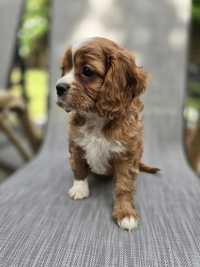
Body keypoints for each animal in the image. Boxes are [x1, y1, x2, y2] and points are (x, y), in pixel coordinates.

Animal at [55, 36, 159, 231]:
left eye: (87, 71)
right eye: (63, 69)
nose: (58, 87)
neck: (97, 117)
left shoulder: (126, 155)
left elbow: (124, 186)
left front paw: (125, 213)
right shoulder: (76, 144)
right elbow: (79, 167)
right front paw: (79, 188)